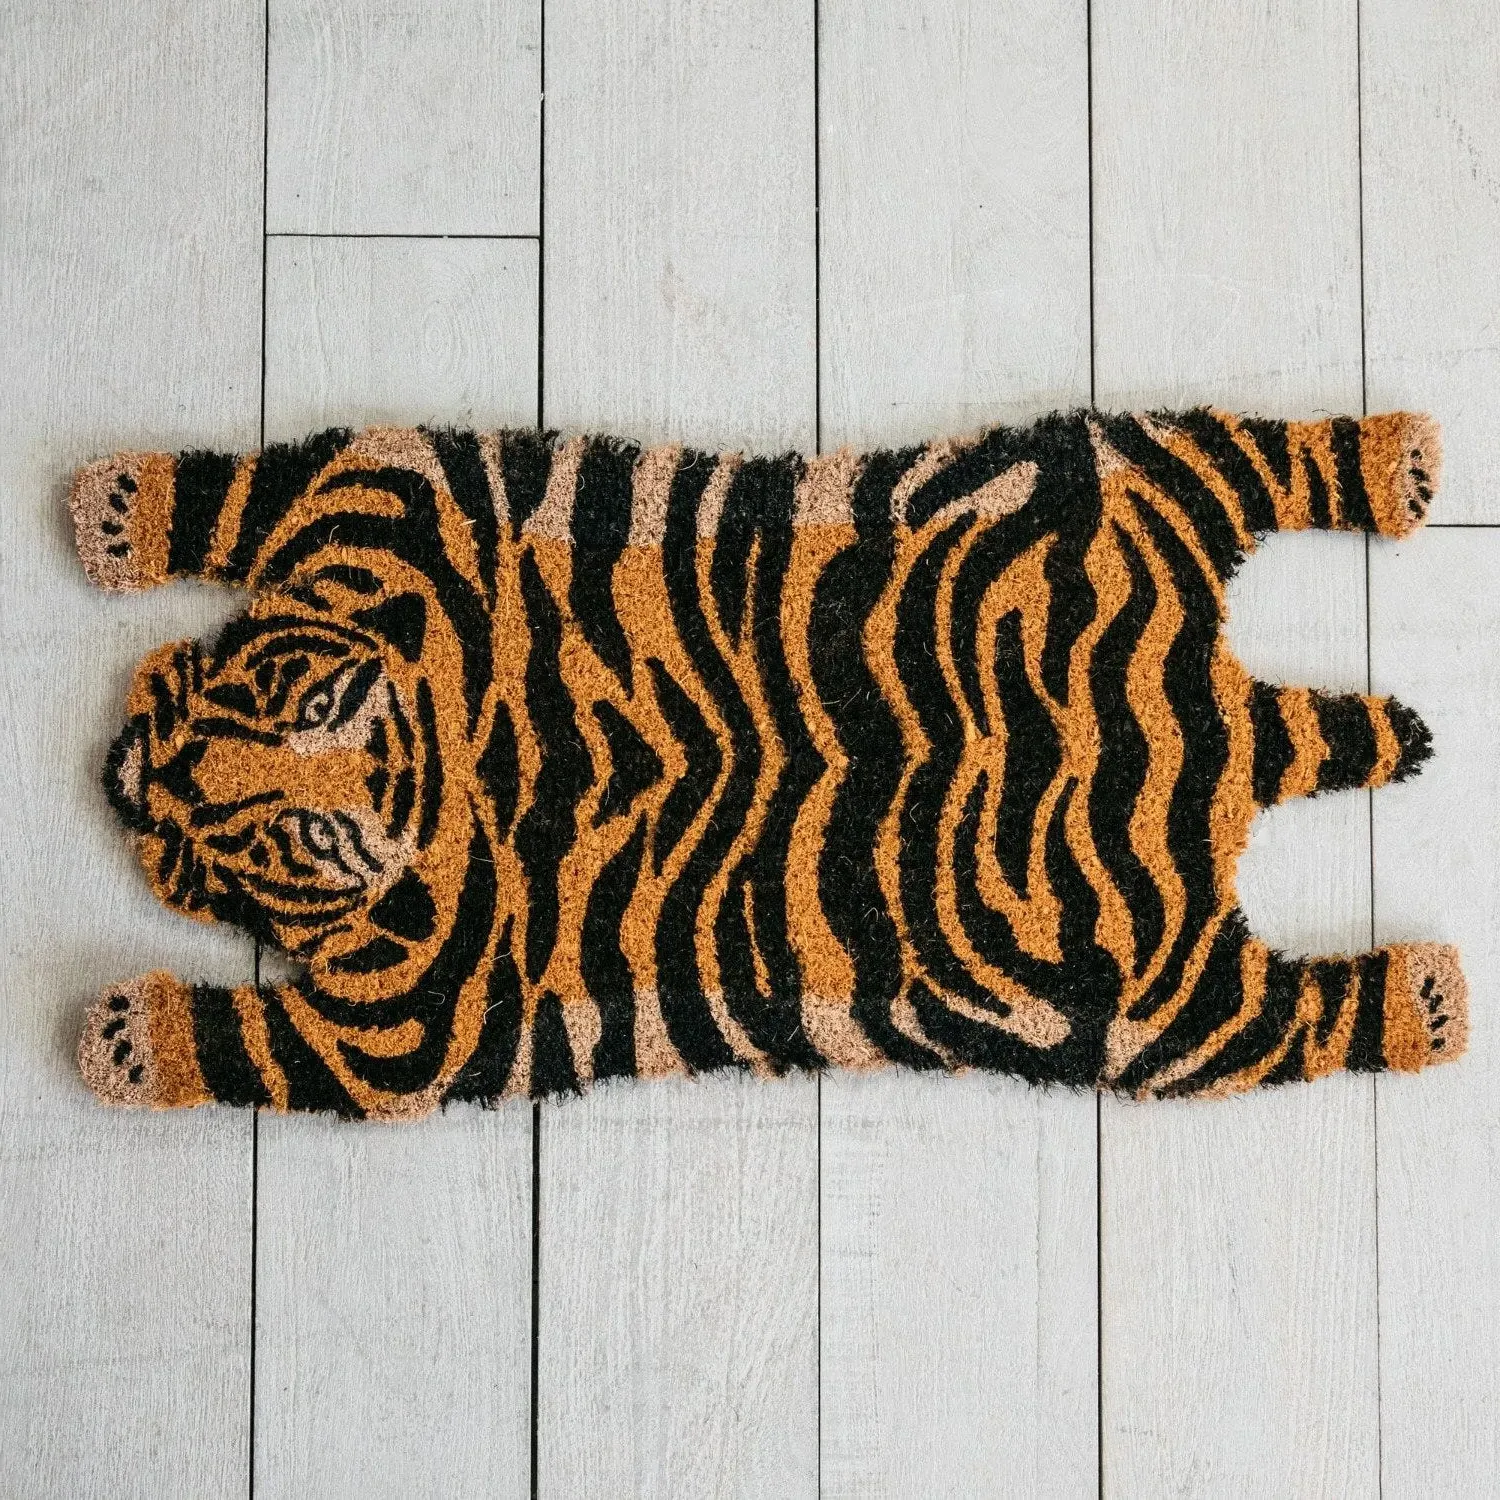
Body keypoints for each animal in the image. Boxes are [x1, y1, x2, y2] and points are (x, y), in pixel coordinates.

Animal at [69, 409, 1467, 1121]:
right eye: (253, 704)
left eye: (271, 847)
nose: (126, 778)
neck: (461, 759)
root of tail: (1226, 727)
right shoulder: (378, 480)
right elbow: (237, 496)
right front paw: (119, 512)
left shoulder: (396, 1049)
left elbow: (240, 1044)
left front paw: (125, 1040)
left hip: (1177, 1017)